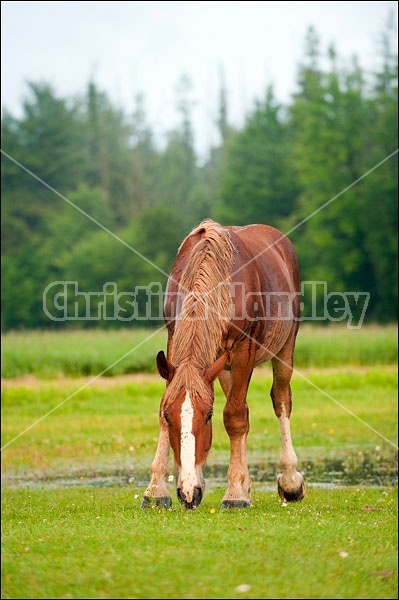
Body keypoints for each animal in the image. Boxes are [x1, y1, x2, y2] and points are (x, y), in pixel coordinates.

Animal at [142, 220, 308, 510]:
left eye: (208, 415)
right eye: (170, 416)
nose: (188, 494)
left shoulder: (242, 350)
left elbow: (234, 418)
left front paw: (234, 494)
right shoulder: (174, 340)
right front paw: (156, 491)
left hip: (284, 347)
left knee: (280, 400)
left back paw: (289, 480)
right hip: (223, 368)